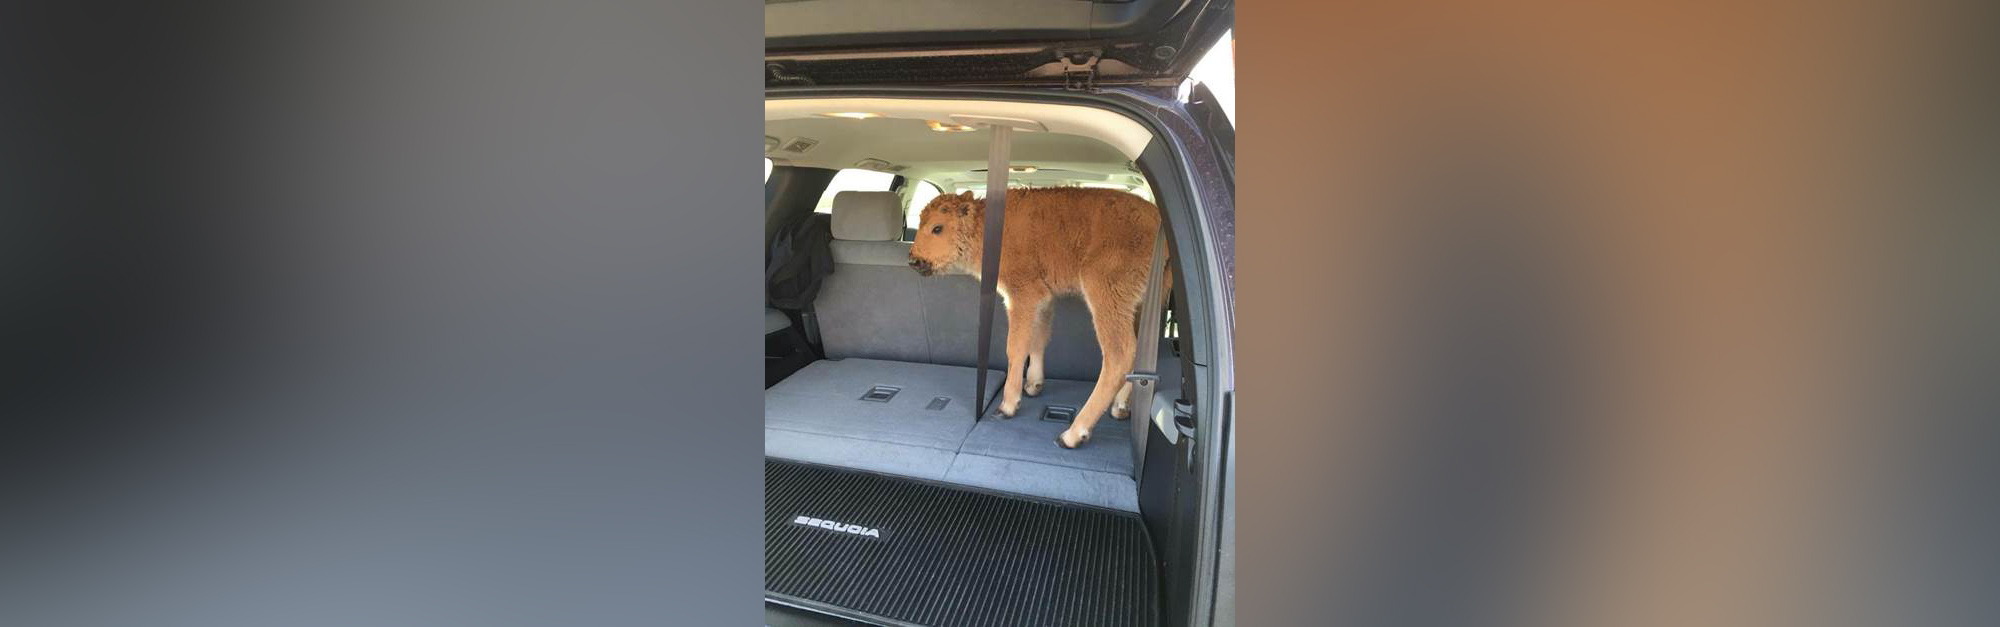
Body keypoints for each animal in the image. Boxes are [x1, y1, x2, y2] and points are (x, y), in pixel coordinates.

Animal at [908, 185, 1160, 451]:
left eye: (937, 228)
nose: (913, 260)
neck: (983, 227)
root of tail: (1155, 218)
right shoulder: (1044, 299)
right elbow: (1038, 340)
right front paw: (1033, 385)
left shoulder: (1022, 295)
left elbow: (1016, 347)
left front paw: (1008, 405)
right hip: (1142, 305)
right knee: (1139, 352)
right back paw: (1120, 407)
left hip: (1107, 296)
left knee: (1119, 355)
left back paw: (1073, 434)